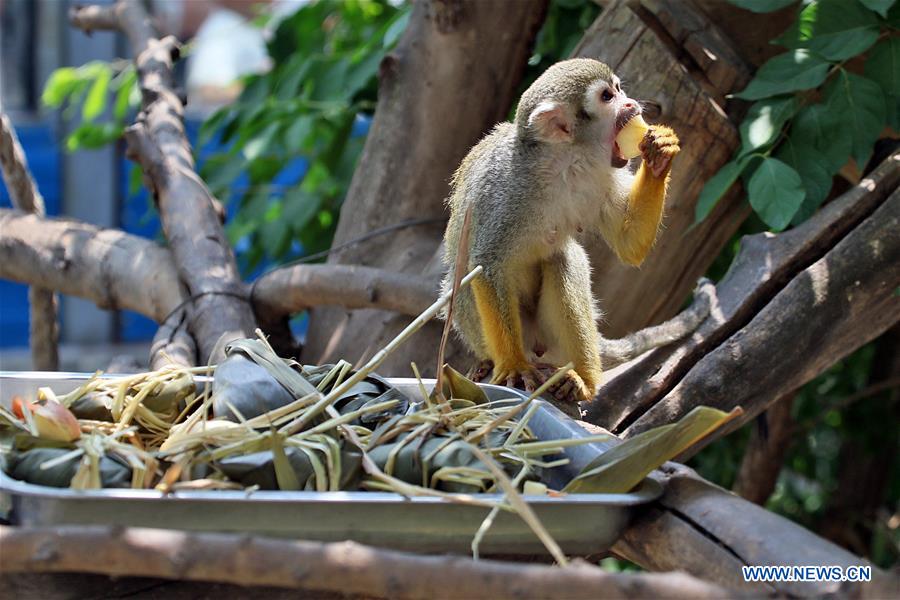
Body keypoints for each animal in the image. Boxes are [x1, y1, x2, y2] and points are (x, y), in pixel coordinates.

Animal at [440, 58, 680, 406]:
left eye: (618, 89)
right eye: (607, 97)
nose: (630, 103)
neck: (565, 161)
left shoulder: (601, 174)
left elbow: (628, 245)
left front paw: (660, 155)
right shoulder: (505, 190)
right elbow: (486, 264)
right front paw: (513, 365)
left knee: (562, 259)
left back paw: (583, 381)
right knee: (459, 281)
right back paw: (493, 361)